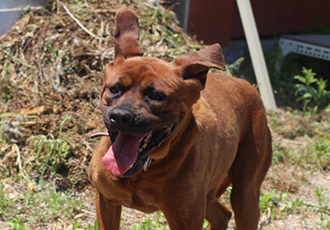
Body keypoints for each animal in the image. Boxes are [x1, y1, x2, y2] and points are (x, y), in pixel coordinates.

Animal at [89, 7, 272, 230]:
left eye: (156, 96)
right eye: (114, 89)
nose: (121, 116)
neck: (144, 169)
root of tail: (247, 84)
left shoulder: (186, 218)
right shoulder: (106, 201)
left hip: (245, 195)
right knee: (222, 214)